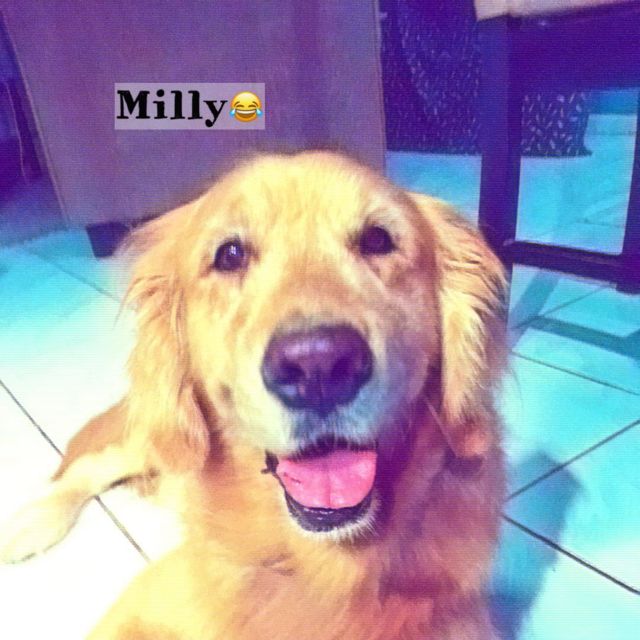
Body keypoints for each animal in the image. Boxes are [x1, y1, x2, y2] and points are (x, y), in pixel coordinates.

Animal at [0, 151, 507, 639]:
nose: (318, 365)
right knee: (93, 466)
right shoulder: (144, 599)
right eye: (230, 255)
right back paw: (30, 523)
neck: (315, 564)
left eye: (378, 241)